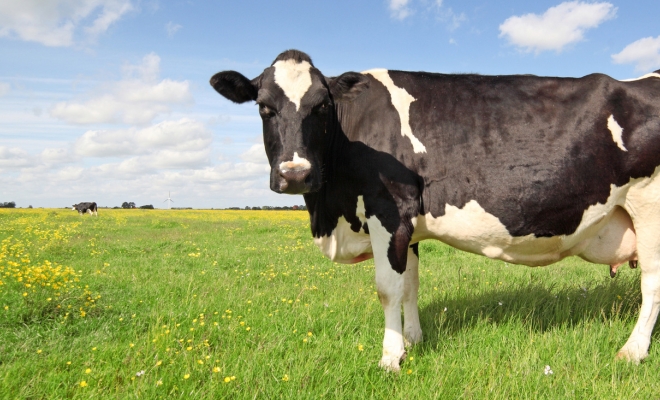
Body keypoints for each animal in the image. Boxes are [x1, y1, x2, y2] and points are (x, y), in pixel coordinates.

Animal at [210, 49, 660, 371]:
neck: (329, 212)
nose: (296, 173)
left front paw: (390, 358)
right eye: (264, 107)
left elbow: (388, 288)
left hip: (649, 204)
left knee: (652, 284)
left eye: (321, 106)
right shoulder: (406, 224)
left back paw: (632, 351)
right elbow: (410, 284)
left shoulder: (388, 208)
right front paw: (413, 341)